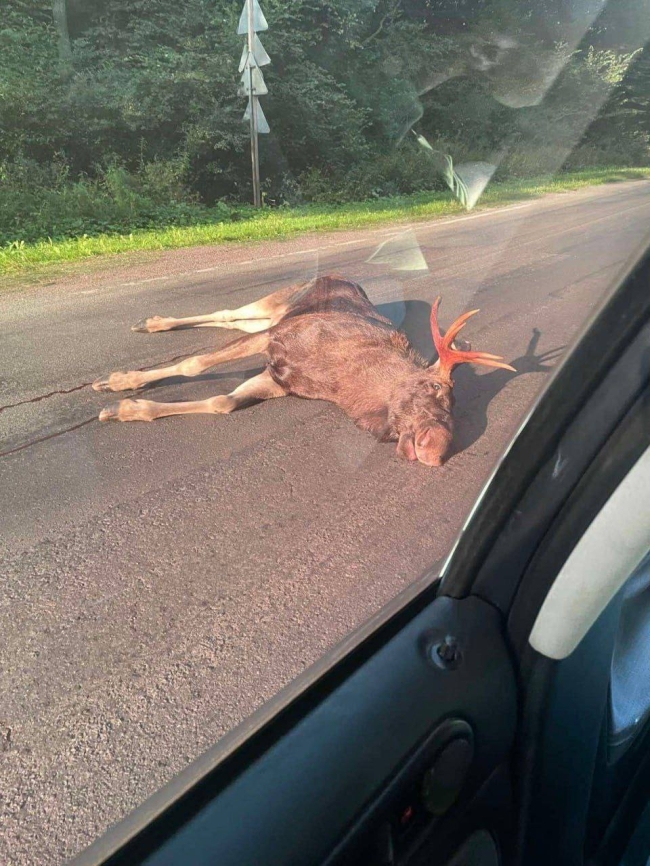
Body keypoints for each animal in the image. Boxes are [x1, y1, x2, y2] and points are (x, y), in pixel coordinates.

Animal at [93, 275, 515, 466]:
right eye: (435, 390)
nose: (437, 450)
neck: (344, 385)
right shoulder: (277, 339)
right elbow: (195, 364)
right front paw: (120, 383)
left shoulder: (278, 378)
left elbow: (221, 402)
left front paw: (126, 409)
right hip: (278, 304)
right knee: (230, 311)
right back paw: (151, 323)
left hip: (274, 313)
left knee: (232, 319)